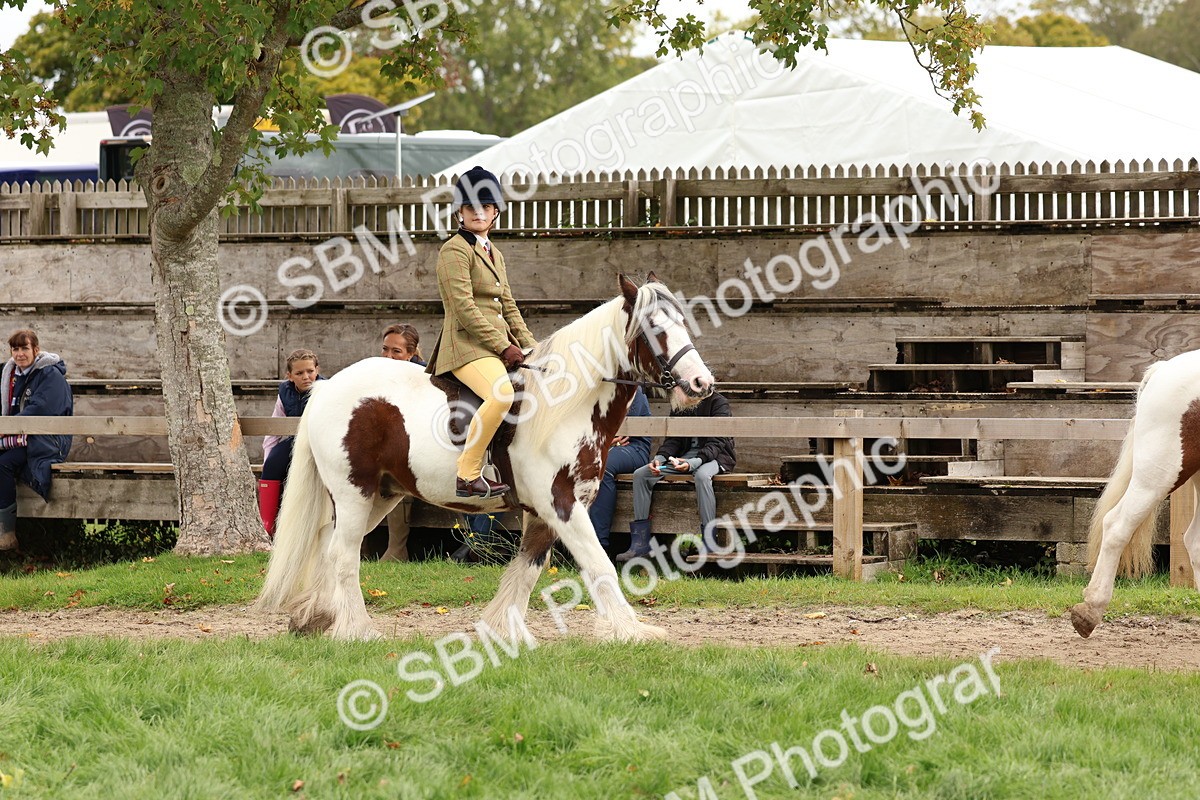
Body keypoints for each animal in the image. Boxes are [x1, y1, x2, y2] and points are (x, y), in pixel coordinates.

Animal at [255, 275, 716, 641]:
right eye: (654, 327)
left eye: (681, 322)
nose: (701, 383)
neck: (565, 404)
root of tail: (328, 387)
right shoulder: (561, 504)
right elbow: (597, 563)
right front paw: (631, 630)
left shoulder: (549, 510)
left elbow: (528, 568)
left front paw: (499, 629)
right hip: (355, 493)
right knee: (343, 554)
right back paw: (357, 630)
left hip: (382, 495)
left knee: (327, 543)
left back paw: (315, 616)